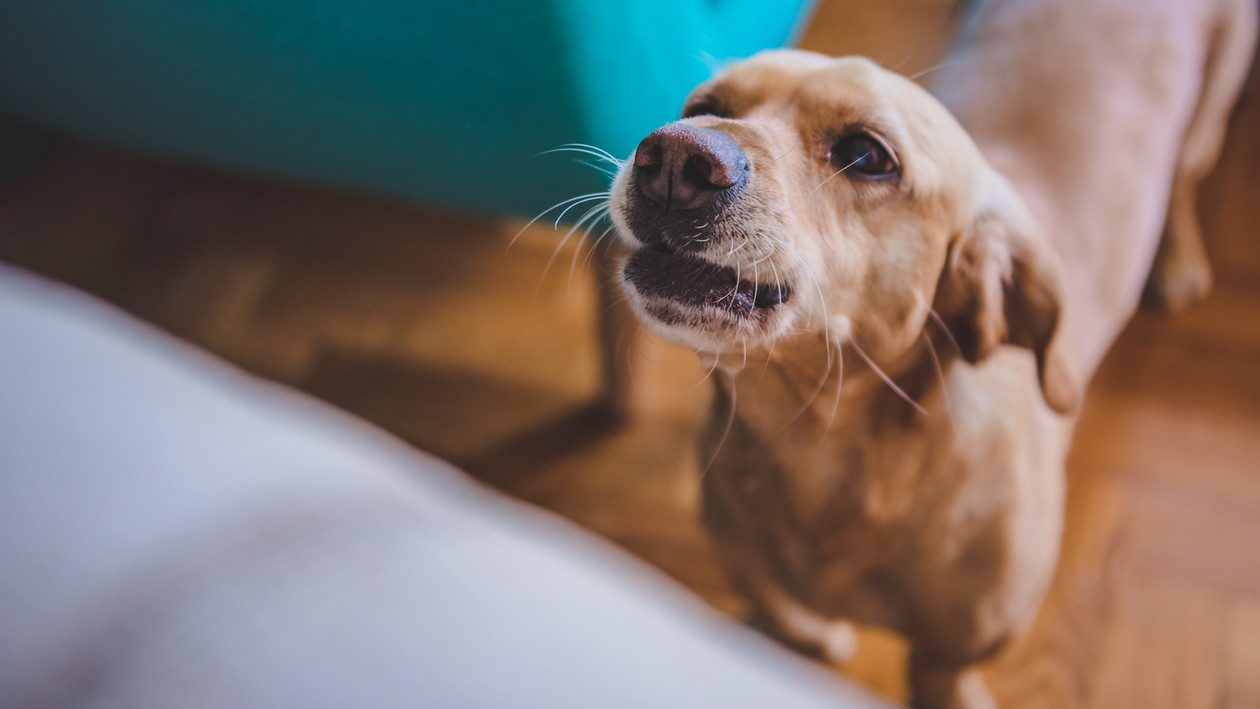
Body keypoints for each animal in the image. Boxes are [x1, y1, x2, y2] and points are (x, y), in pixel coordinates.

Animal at [604, 1, 1254, 709]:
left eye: (865, 155)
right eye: (702, 106)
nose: (673, 156)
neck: (821, 450)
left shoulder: (952, 657)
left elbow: (943, 679)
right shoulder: (760, 578)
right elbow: (788, 622)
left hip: (1212, 107)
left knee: (1186, 175)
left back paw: (1178, 259)